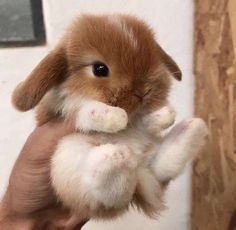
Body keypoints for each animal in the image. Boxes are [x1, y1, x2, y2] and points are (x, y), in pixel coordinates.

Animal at [12, 13, 207, 219]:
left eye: (152, 58)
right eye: (99, 69)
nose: (143, 92)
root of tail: (139, 174)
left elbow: (144, 121)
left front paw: (165, 114)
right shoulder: (59, 109)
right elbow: (85, 109)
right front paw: (115, 117)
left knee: (160, 169)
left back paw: (191, 129)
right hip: (66, 158)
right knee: (107, 199)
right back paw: (117, 157)